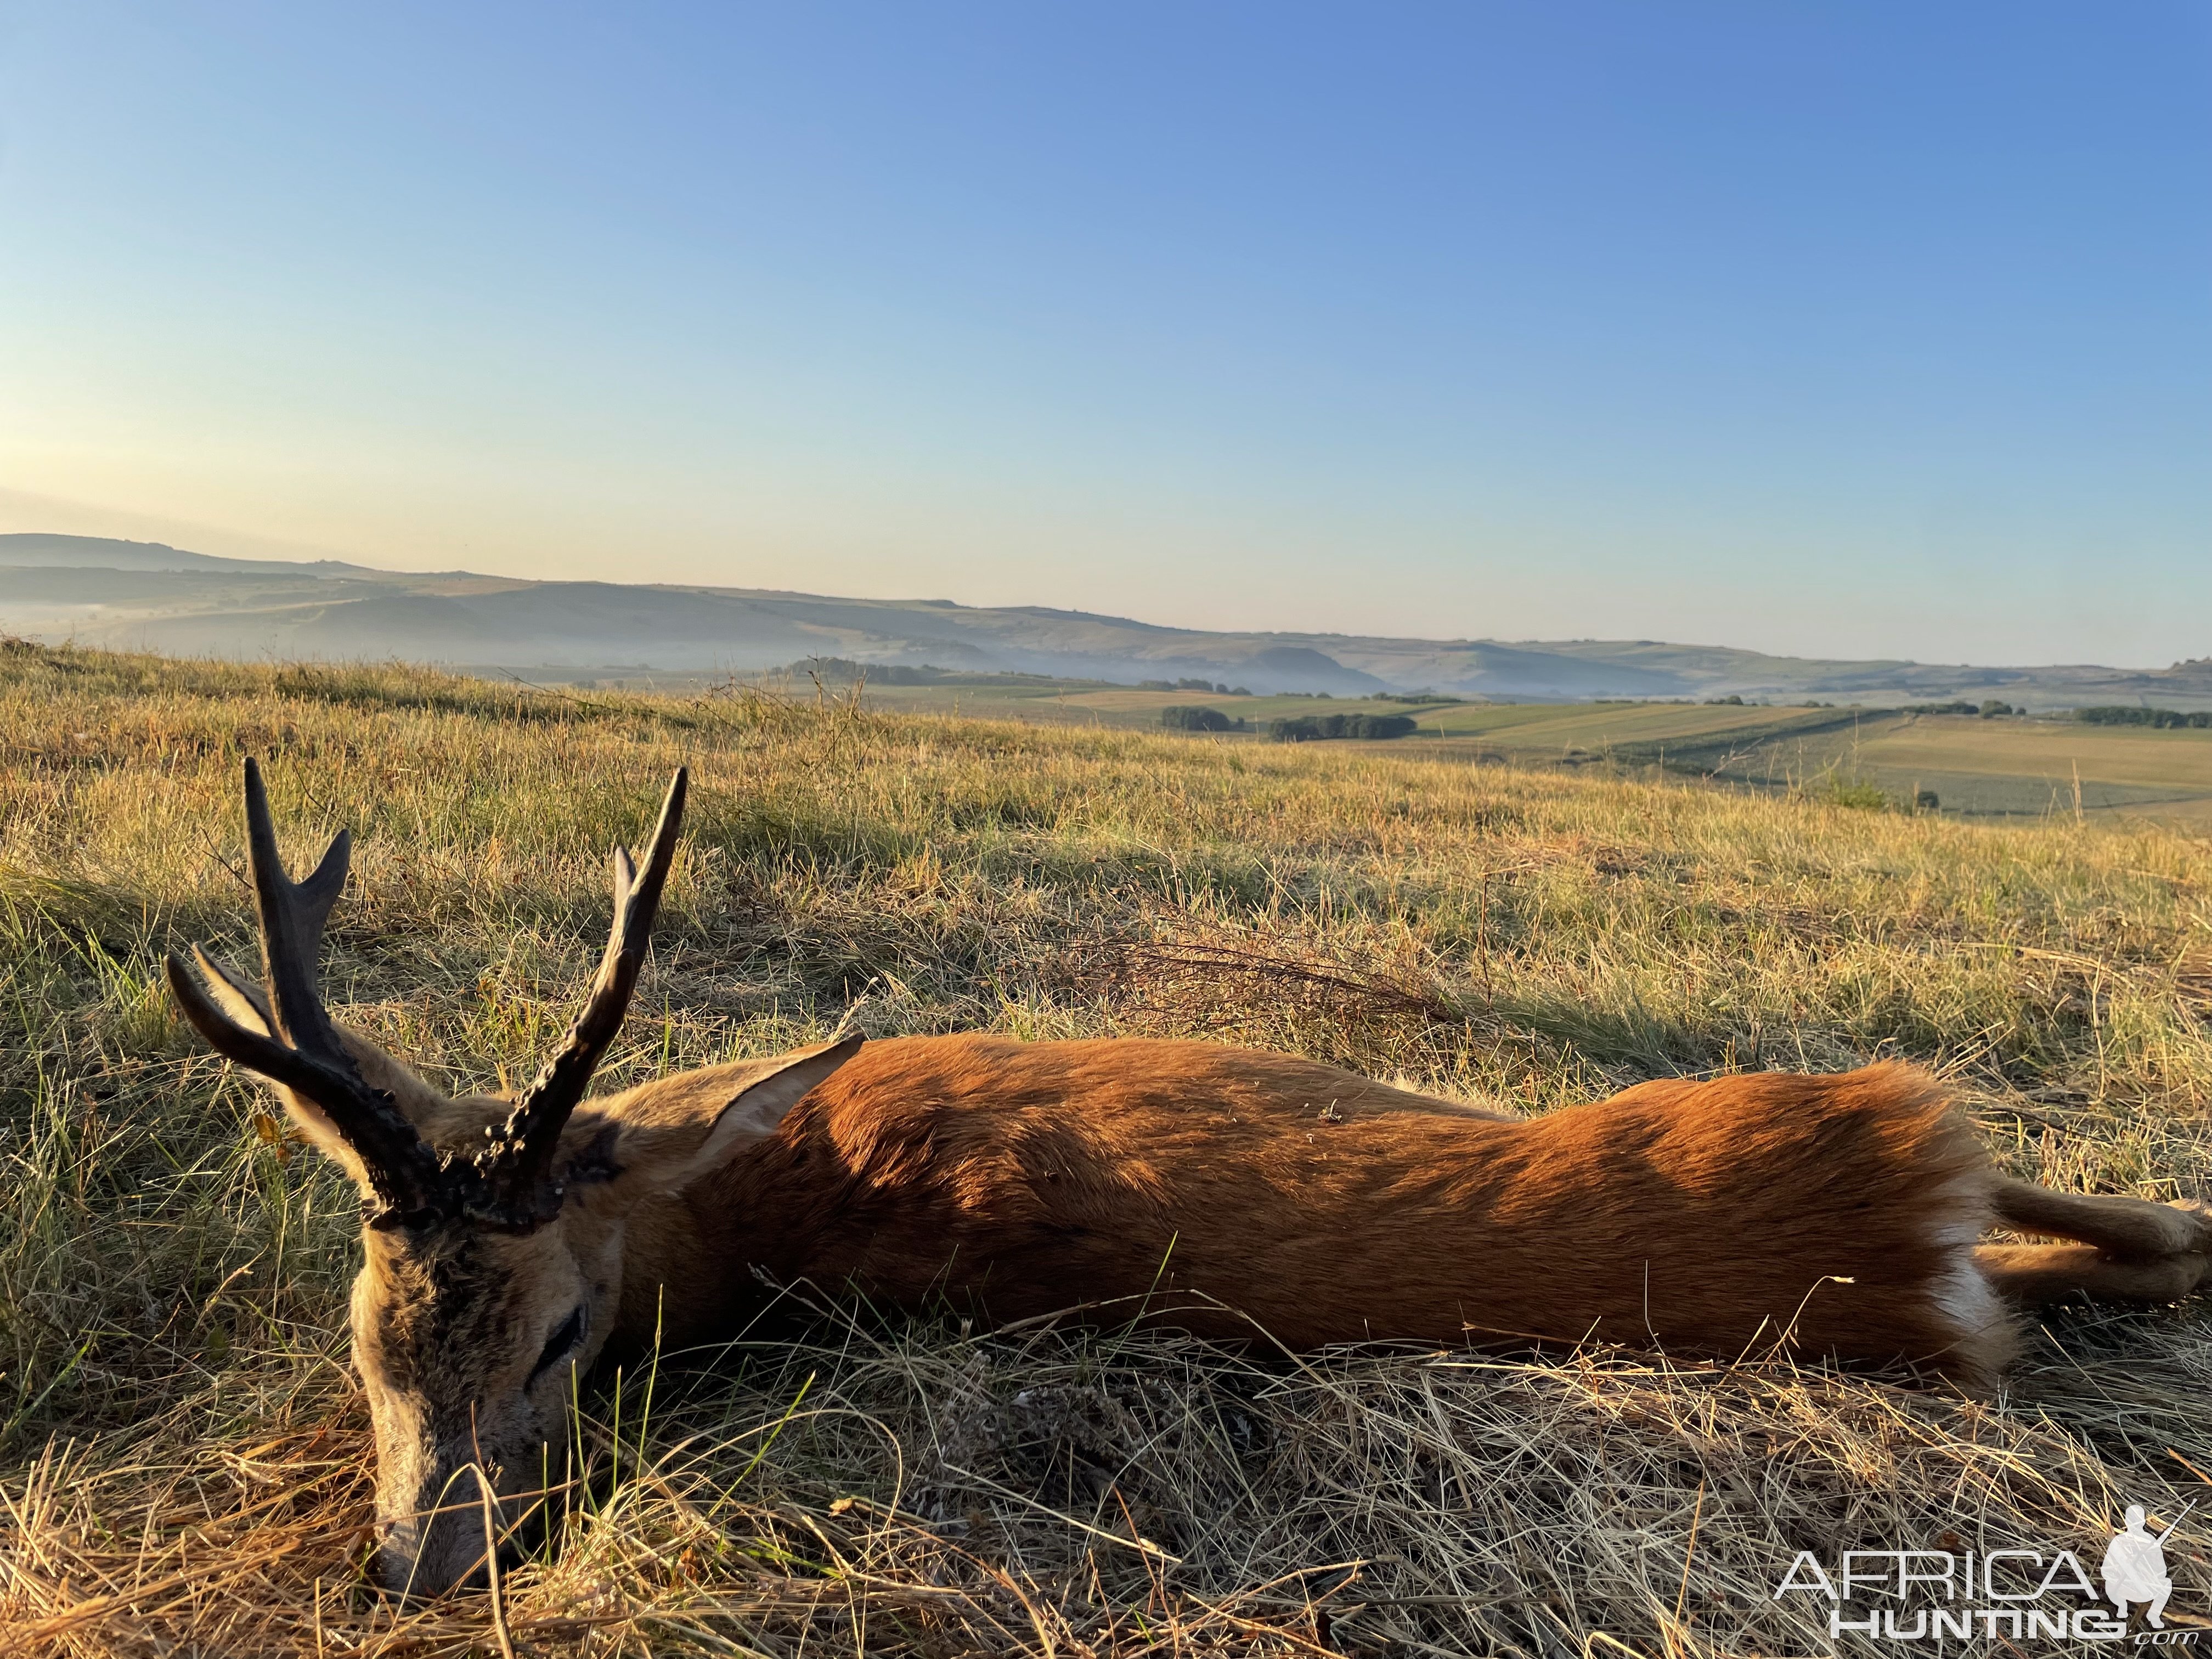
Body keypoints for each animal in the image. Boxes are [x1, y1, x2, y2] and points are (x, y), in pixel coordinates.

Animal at [168, 765, 2212, 1601]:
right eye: (369, 1347)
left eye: (560, 1333)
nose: (411, 1569)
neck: (785, 1195)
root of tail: (1905, 1250)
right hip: (1878, 1121)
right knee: (2148, 1233)